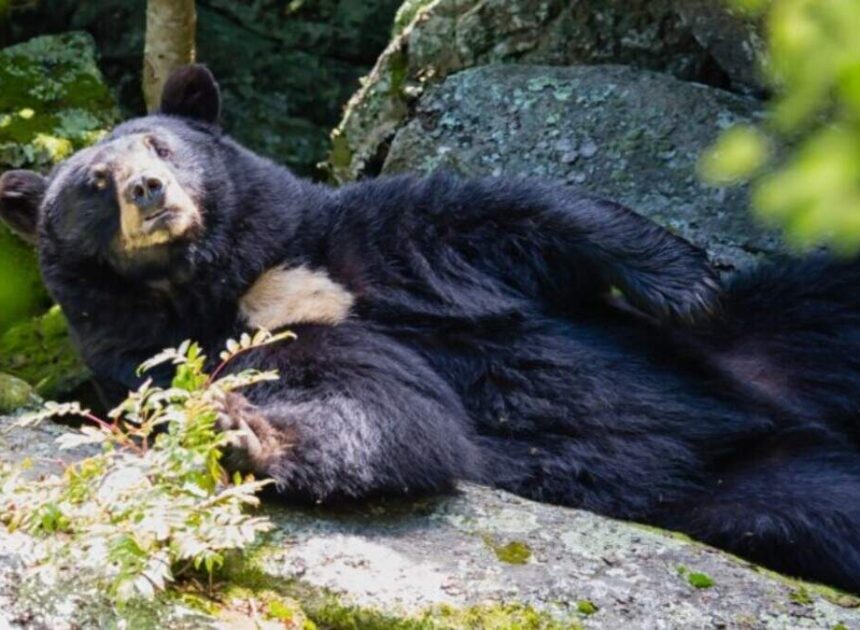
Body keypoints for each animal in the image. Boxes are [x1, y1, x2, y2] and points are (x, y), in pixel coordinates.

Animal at [2, 65, 860, 593]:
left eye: (161, 144)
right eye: (94, 184)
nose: (149, 190)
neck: (242, 281)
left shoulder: (364, 240)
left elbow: (512, 213)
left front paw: (682, 281)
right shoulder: (221, 351)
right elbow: (384, 408)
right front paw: (244, 431)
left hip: (777, 332)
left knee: (823, 303)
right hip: (741, 493)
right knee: (819, 501)